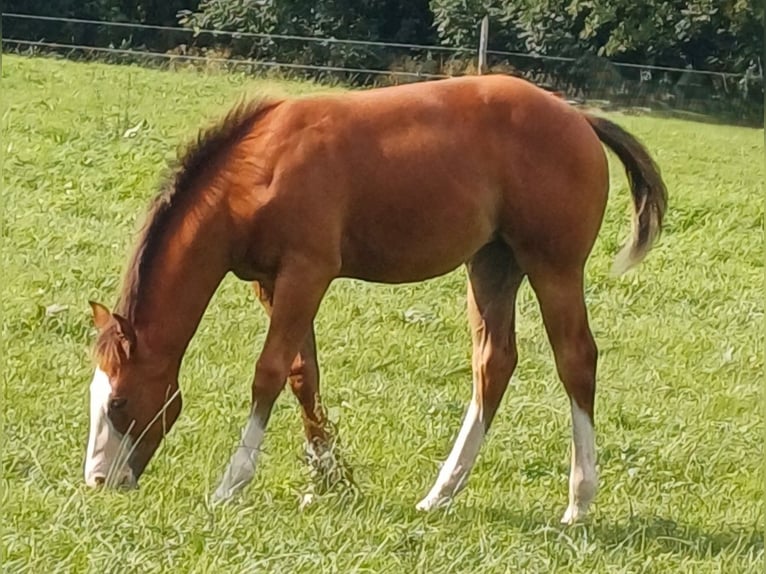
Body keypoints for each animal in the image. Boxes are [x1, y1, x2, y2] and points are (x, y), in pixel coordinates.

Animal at [84, 74, 666, 524]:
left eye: (119, 402)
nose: (98, 481)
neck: (257, 169)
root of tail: (579, 119)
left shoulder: (307, 272)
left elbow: (268, 372)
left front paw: (234, 483)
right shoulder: (271, 282)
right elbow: (302, 374)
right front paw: (328, 477)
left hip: (554, 267)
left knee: (576, 360)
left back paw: (579, 501)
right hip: (493, 265)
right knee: (494, 363)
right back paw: (440, 493)